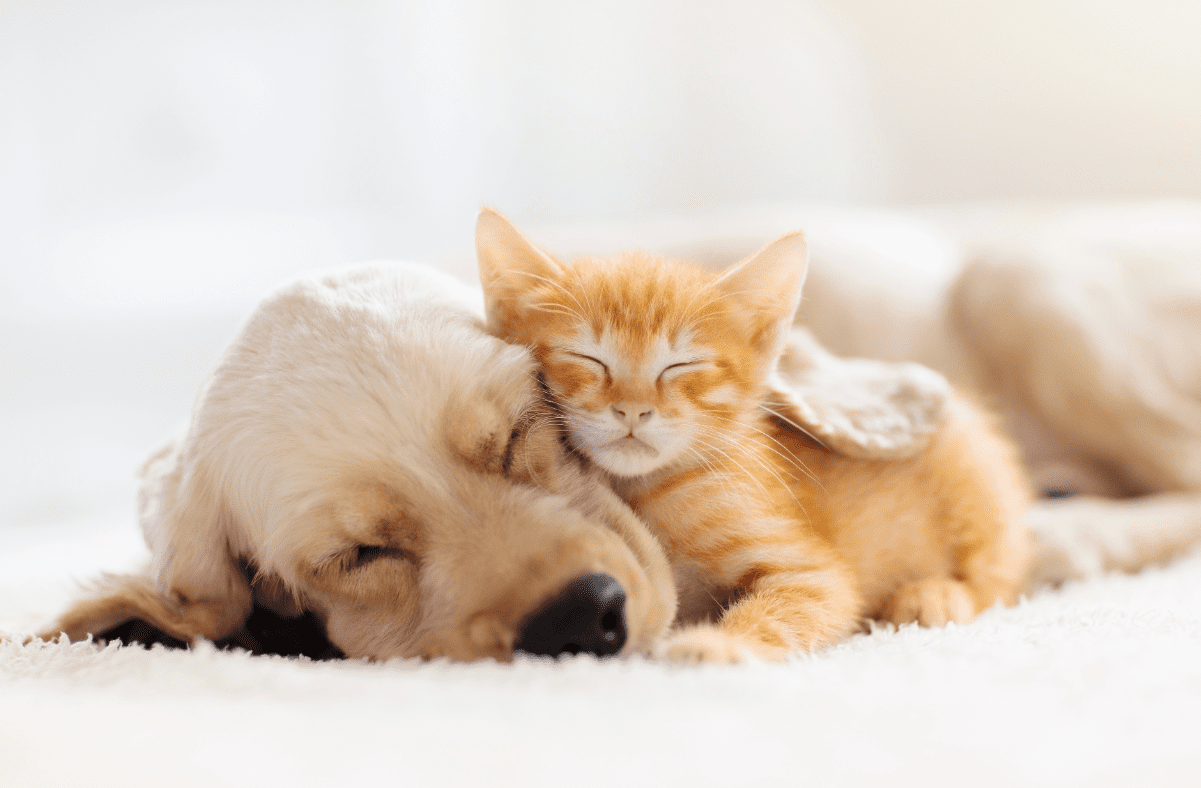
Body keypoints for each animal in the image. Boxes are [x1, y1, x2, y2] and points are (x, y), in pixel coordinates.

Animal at [477, 207, 1032, 658]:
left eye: (681, 365)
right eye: (587, 358)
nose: (632, 410)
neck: (643, 490)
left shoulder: (811, 572)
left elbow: (794, 605)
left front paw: (717, 645)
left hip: (975, 481)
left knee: (1001, 574)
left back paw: (937, 594)